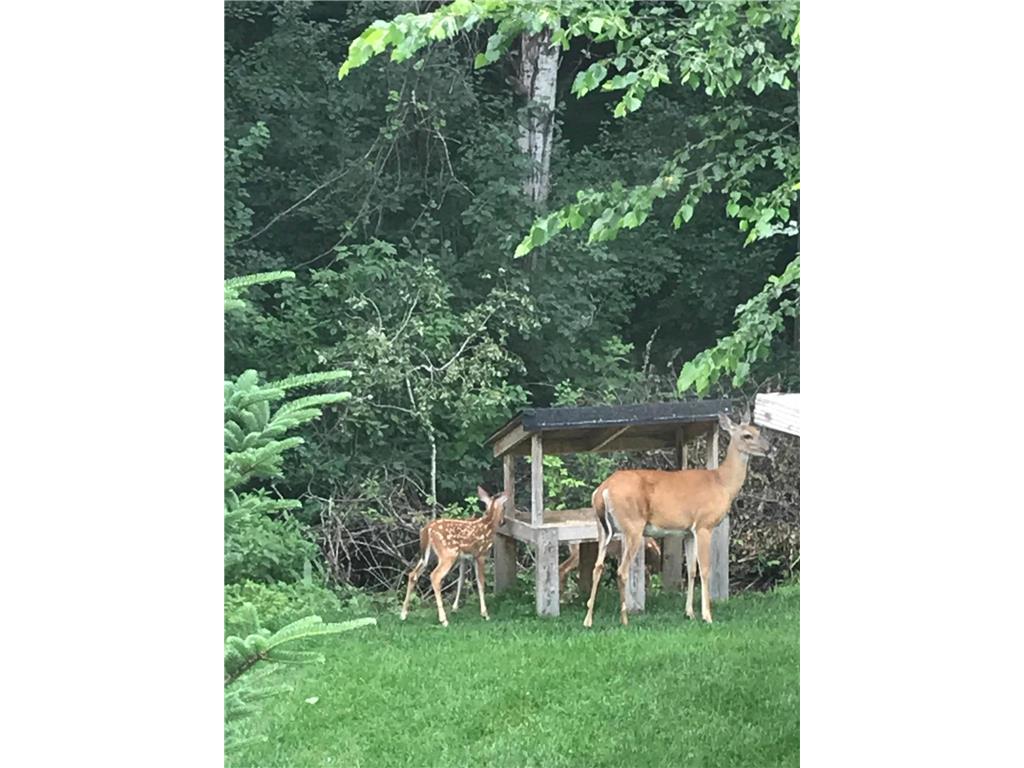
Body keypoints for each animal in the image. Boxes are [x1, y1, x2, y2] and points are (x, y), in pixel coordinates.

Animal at [400, 486, 507, 627]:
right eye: (504, 508)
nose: (503, 522)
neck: (488, 524)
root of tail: (428, 529)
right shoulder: (480, 554)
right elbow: (480, 582)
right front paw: (485, 614)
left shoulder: (464, 558)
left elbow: (460, 581)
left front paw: (455, 608)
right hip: (448, 554)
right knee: (435, 576)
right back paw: (443, 619)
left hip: (429, 555)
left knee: (413, 574)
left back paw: (403, 614)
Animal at [582, 410, 771, 628]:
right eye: (747, 435)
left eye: (758, 430)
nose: (769, 448)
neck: (722, 483)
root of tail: (602, 490)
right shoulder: (704, 525)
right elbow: (705, 569)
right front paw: (707, 615)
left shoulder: (688, 532)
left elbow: (691, 570)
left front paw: (689, 613)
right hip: (632, 526)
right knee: (621, 571)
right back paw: (624, 619)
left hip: (603, 528)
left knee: (597, 567)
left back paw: (588, 620)